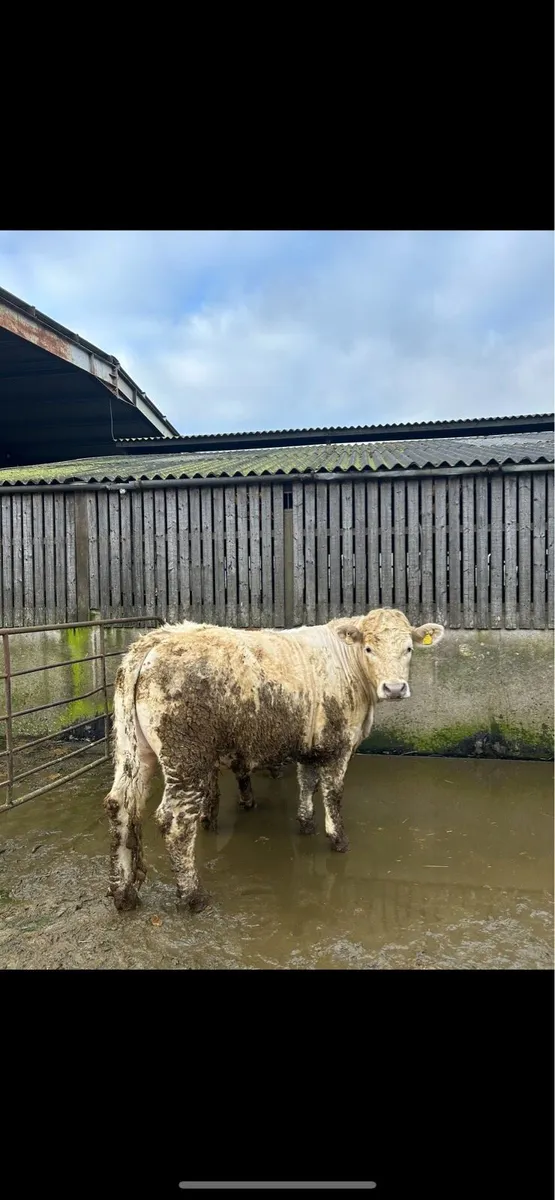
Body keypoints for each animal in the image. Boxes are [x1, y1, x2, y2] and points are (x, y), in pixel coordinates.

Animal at [103, 608, 444, 913]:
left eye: (409, 648)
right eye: (369, 648)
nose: (395, 688)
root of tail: (158, 639)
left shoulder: (311, 744)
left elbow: (307, 782)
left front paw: (306, 823)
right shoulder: (338, 745)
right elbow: (333, 793)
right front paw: (338, 839)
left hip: (134, 750)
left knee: (120, 804)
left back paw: (124, 893)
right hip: (186, 757)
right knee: (175, 820)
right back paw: (192, 897)